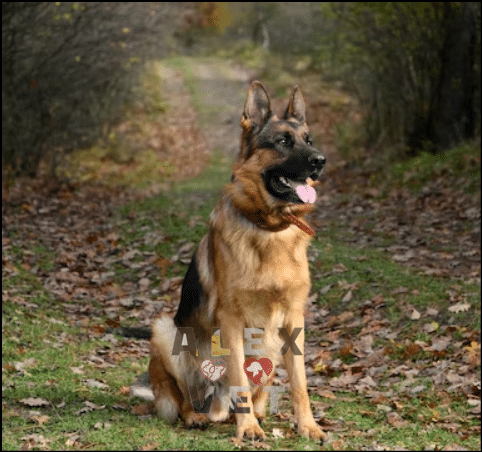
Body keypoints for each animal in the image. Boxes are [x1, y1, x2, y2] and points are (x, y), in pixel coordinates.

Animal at [148, 80, 328, 438]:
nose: (320, 161)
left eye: (308, 140)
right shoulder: (230, 320)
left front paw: (308, 426)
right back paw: (199, 415)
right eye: (282, 141)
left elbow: (300, 382)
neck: (269, 229)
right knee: (185, 395)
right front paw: (249, 429)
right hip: (166, 331)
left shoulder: (294, 319)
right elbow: (239, 377)